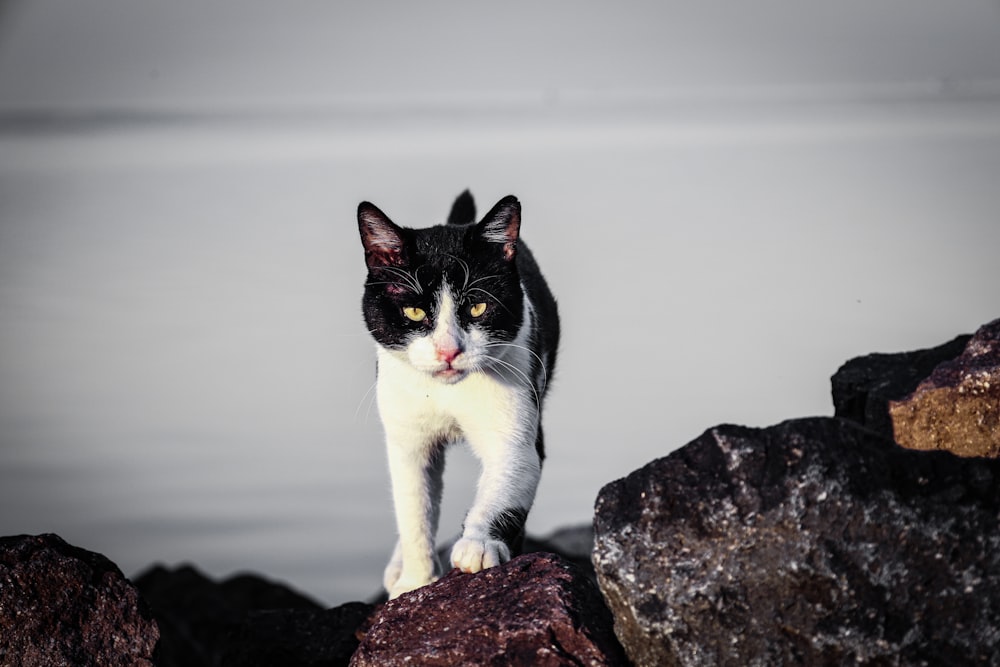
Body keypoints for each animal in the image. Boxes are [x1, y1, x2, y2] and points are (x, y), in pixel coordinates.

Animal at [360, 189, 564, 600]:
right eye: (414, 311)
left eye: (478, 306)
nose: (448, 351)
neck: (446, 393)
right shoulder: (408, 438)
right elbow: (415, 506)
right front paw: (416, 581)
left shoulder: (517, 428)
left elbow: (508, 478)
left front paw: (479, 544)